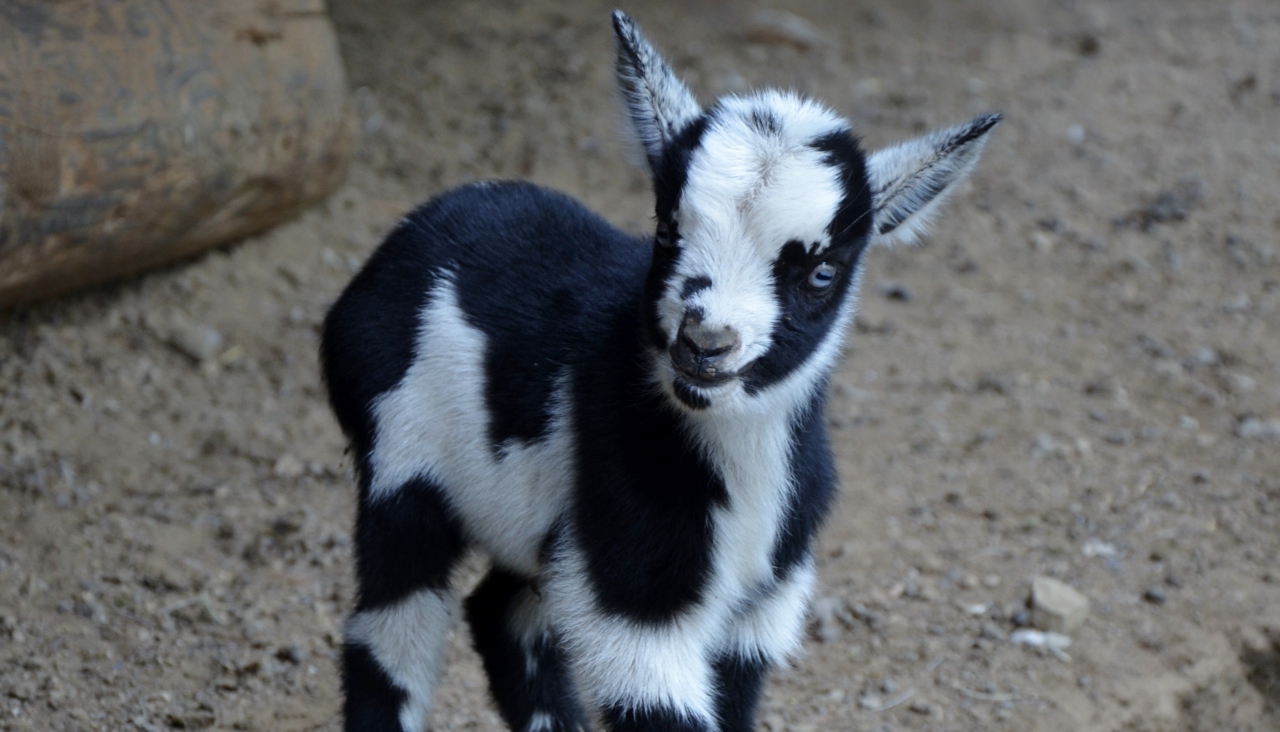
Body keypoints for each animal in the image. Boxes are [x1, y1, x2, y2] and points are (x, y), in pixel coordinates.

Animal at [320, 11, 998, 732]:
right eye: (669, 228)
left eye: (823, 272)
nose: (706, 342)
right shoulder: (633, 589)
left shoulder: (761, 600)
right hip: (400, 458)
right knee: (391, 629)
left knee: (499, 612)